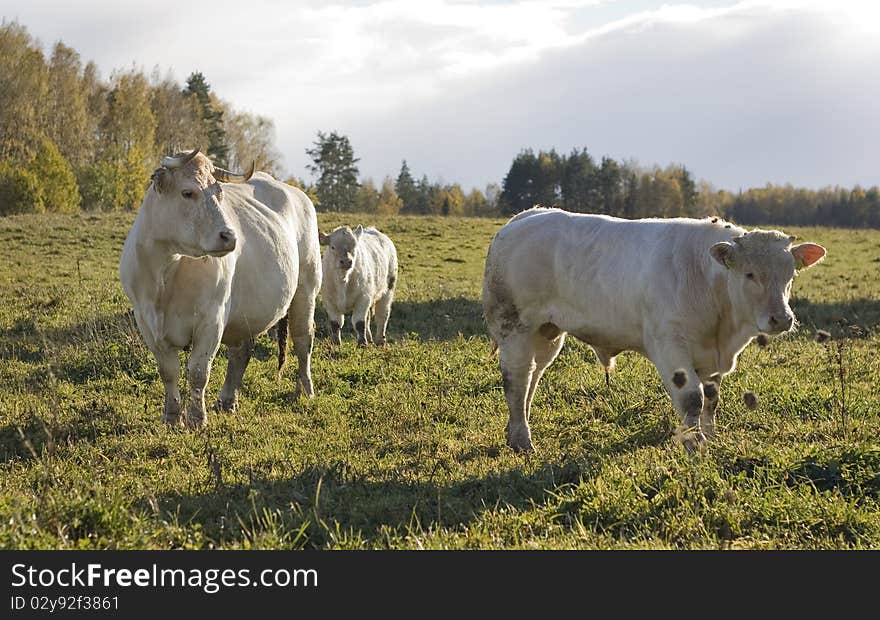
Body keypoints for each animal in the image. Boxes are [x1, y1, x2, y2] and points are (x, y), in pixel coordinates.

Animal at [118, 150, 320, 428]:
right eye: (187, 192)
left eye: (219, 193)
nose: (230, 237)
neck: (166, 270)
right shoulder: (146, 322)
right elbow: (168, 371)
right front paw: (171, 417)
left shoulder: (211, 319)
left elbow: (198, 371)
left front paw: (196, 419)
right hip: (245, 314)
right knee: (241, 353)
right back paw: (227, 401)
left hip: (306, 288)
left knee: (303, 339)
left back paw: (305, 389)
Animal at [484, 206, 828, 452]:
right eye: (750, 274)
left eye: (791, 275)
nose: (781, 319)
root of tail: (525, 217)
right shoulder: (670, 345)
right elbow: (693, 399)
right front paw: (695, 444)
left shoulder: (712, 358)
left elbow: (711, 399)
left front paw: (712, 437)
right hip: (515, 327)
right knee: (516, 380)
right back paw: (523, 439)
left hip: (547, 332)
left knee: (532, 376)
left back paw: (515, 432)